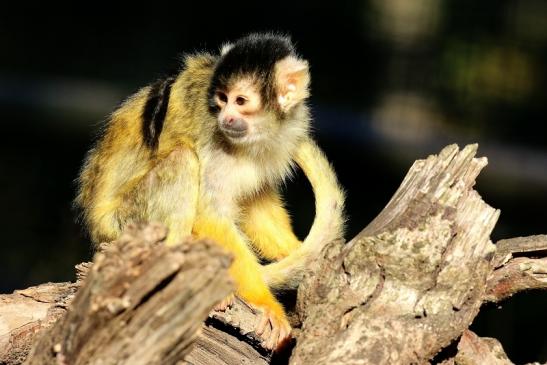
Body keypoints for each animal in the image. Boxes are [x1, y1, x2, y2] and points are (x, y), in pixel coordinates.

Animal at [75, 34, 344, 350]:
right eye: (221, 100)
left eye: (240, 101)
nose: (226, 118)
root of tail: (97, 231)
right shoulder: (217, 142)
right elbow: (210, 214)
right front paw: (268, 304)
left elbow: (256, 205)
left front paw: (299, 253)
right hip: (124, 225)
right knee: (183, 160)